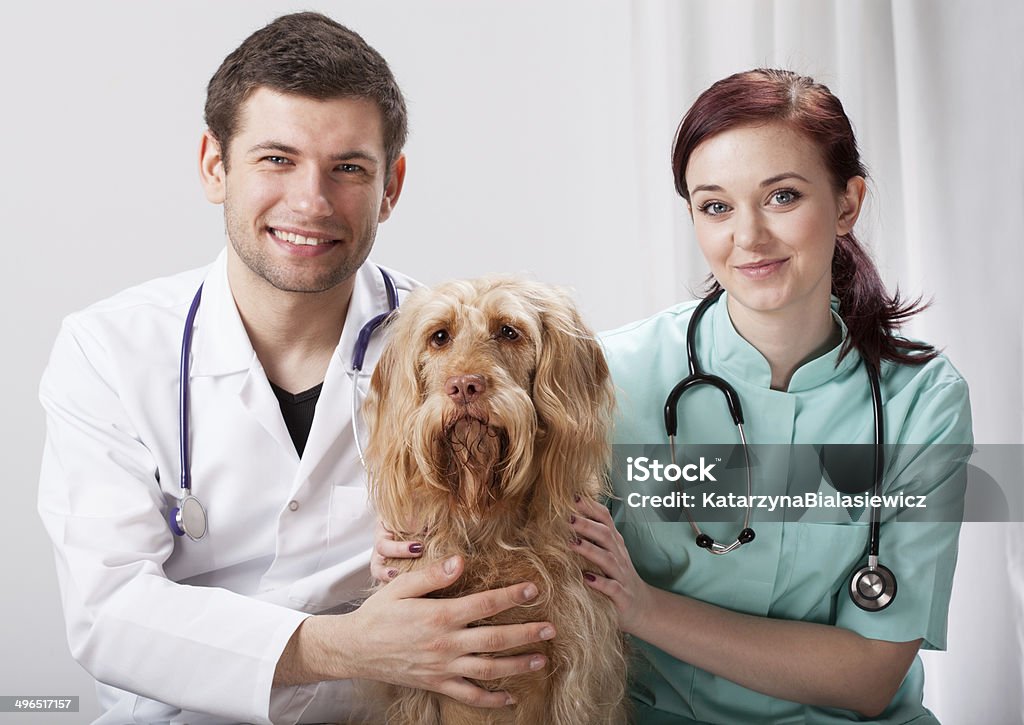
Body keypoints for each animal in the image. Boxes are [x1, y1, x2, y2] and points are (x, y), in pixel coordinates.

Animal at [364, 278, 626, 724]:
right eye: (439, 337)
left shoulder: (579, 674)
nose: (464, 386)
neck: (485, 520)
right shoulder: (411, 680)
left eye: (508, 331)